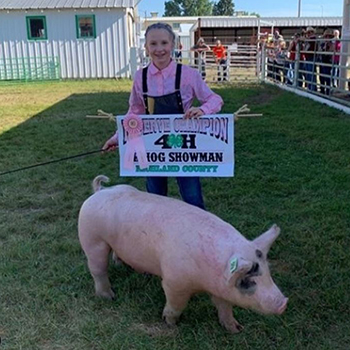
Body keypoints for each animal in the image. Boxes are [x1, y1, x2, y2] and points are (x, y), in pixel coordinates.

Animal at [78, 175, 288, 334]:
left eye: (268, 273)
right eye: (247, 281)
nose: (283, 303)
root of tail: (99, 191)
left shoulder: (220, 287)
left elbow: (224, 306)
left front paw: (236, 329)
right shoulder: (174, 282)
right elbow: (176, 304)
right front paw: (170, 324)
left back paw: (120, 265)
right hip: (92, 239)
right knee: (97, 269)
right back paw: (109, 297)